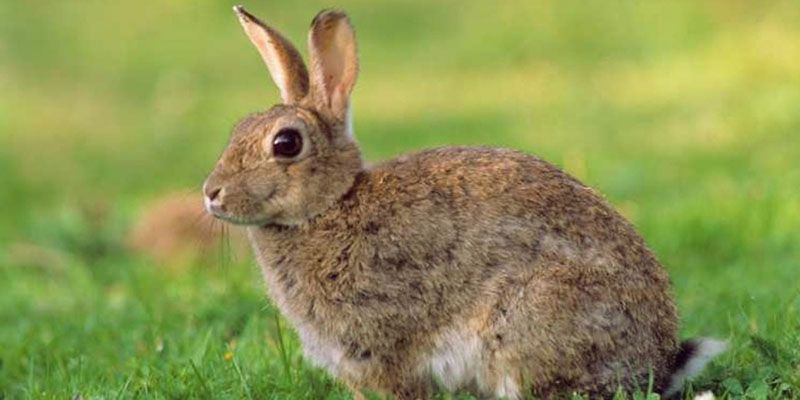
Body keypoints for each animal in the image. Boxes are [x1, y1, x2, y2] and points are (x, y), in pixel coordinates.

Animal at [203, 6, 726, 399]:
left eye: (286, 143)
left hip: (527, 329)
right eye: (237, 129)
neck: (331, 206)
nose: (211, 193)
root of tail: (657, 362)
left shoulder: (385, 343)